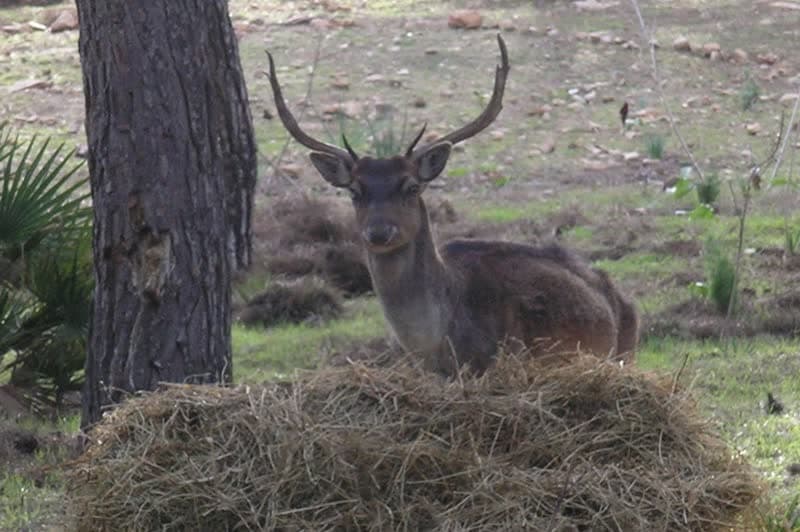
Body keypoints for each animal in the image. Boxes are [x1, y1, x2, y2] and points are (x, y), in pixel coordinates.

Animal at [266, 36, 639, 376]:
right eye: (355, 190)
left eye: (412, 186)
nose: (379, 231)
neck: (433, 343)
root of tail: (620, 295)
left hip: (623, 352)